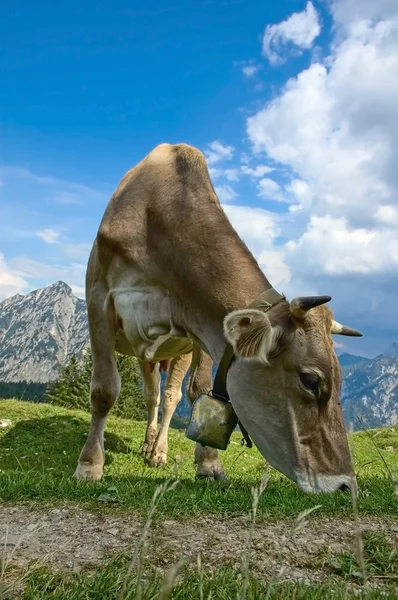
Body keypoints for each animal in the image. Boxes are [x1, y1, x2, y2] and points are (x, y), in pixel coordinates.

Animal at [74, 142, 364, 492]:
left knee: (166, 396)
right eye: (311, 380)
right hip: (144, 351)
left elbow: (197, 391)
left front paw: (208, 463)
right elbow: (104, 390)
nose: (345, 485)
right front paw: (90, 465)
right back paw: (147, 444)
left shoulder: (195, 329)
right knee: (151, 394)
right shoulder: (99, 298)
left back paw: (156, 450)